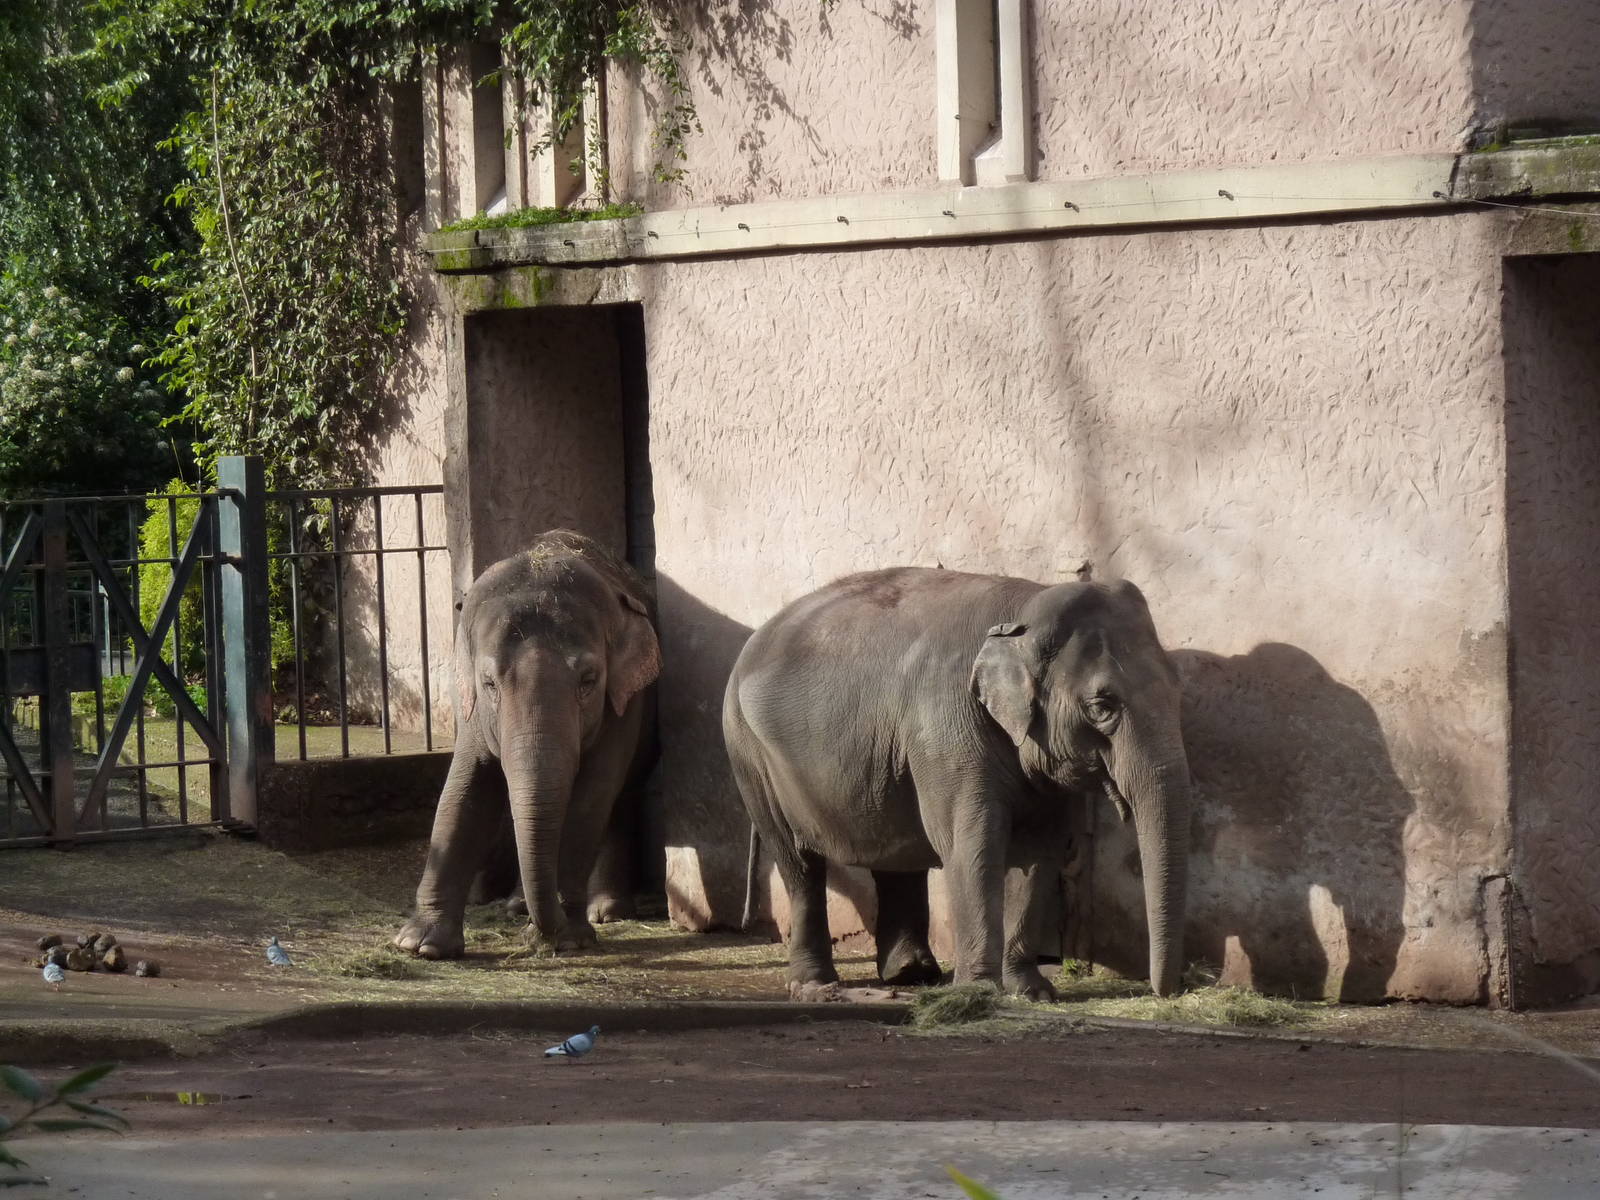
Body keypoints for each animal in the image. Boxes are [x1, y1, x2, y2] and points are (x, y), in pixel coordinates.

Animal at [395, 529, 660, 959]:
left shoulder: (625, 702)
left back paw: (606, 912)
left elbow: (591, 798)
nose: (543, 934)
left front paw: (568, 939)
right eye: (489, 683)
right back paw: (519, 907)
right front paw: (420, 946)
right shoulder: (471, 708)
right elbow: (465, 790)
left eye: (588, 681)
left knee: (619, 800)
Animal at [724, 568, 1190, 1000]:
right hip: (747, 751)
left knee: (894, 851)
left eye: (1177, 689)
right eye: (1101, 707)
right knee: (798, 862)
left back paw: (911, 974)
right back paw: (816, 985)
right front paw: (978, 991)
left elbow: (1040, 850)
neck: (1024, 610)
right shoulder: (947, 729)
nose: (1166, 990)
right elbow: (972, 842)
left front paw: (1032, 992)